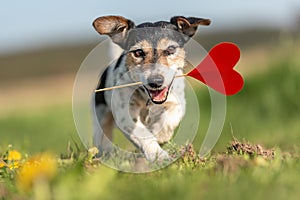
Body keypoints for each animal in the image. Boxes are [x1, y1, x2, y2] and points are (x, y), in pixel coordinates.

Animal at [92, 16, 211, 162]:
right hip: (101, 115)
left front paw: (159, 135)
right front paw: (158, 155)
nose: (155, 82)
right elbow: (142, 134)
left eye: (170, 49)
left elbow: (169, 119)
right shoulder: (124, 113)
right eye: (138, 52)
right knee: (103, 136)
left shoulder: (177, 102)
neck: (148, 100)